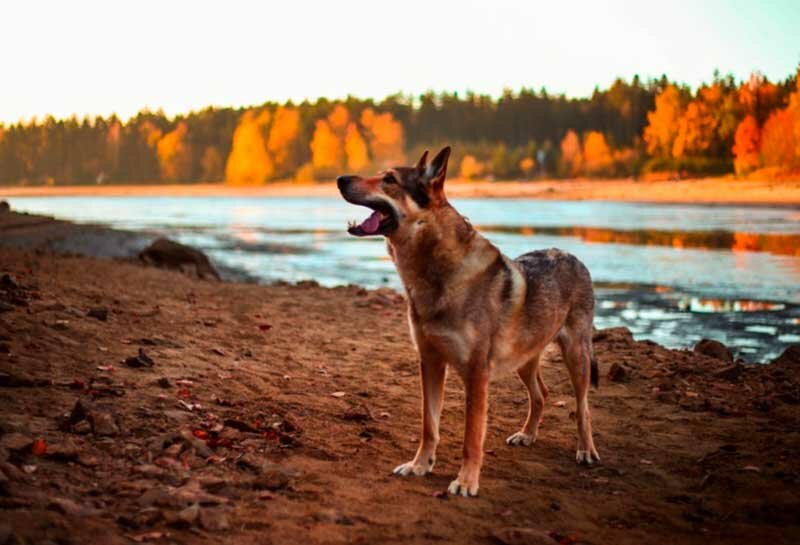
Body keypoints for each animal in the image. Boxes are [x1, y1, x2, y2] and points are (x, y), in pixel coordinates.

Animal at [334, 147, 596, 496]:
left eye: (389, 179)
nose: (340, 179)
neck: (435, 273)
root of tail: (573, 256)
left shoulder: (476, 374)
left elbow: (471, 438)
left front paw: (466, 482)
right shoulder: (430, 362)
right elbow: (429, 426)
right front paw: (420, 466)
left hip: (576, 359)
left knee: (582, 408)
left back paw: (586, 450)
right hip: (524, 361)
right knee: (541, 394)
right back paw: (527, 435)